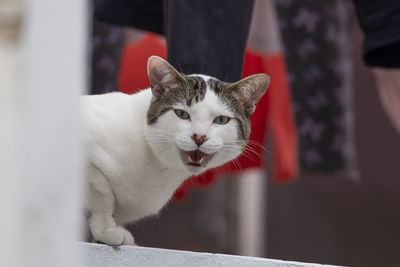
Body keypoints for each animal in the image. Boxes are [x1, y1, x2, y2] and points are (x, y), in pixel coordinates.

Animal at [83, 56, 272, 247]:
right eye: (181, 114)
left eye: (221, 120)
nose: (199, 137)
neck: (161, 167)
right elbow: (102, 196)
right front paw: (106, 229)